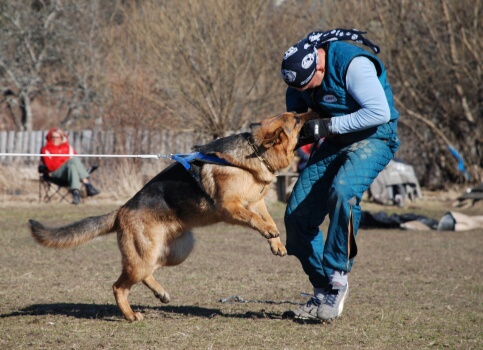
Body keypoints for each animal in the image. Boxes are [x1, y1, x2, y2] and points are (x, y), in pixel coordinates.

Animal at [31, 111, 318, 320]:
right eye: (296, 119)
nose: (315, 109)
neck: (255, 152)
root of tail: (122, 209)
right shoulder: (230, 207)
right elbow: (255, 220)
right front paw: (270, 233)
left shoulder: (256, 201)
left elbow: (268, 219)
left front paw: (276, 242)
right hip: (145, 257)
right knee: (118, 286)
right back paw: (130, 315)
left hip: (174, 253)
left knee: (145, 273)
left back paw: (160, 294)